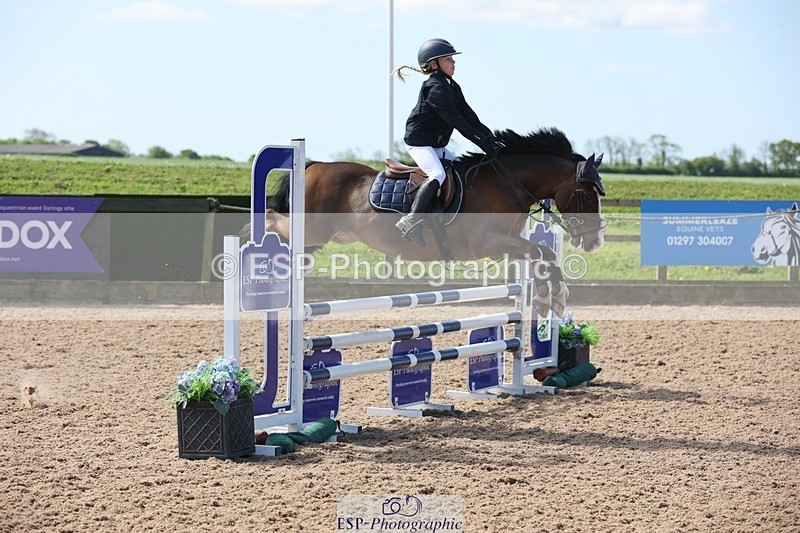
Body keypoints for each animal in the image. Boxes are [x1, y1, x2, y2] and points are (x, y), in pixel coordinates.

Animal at [246, 128, 607, 316]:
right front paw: (549, 300)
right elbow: (540, 253)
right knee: (274, 221)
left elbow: (545, 255)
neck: (505, 182)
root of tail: (313, 166)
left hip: (319, 237)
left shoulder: (505, 247)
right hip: (312, 230)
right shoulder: (488, 244)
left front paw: (554, 299)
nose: (596, 241)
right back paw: (255, 247)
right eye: (587, 194)